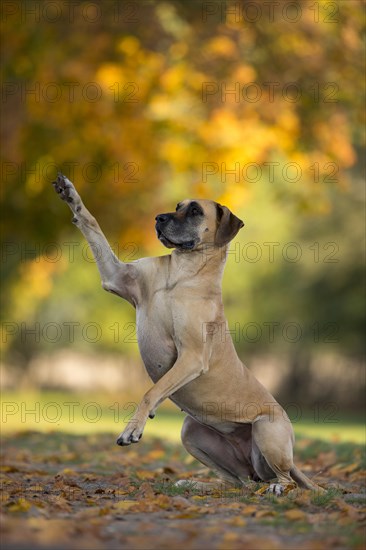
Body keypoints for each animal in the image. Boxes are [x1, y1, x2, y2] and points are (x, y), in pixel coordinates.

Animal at [52, 174, 324, 496]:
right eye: (177, 205)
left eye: (195, 211)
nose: (158, 218)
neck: (183, 272)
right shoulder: (116, 276)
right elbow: (91, 223)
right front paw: (70, 194)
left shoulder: (191, 357)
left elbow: (151, 392)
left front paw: (133, 429)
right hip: (191, 431)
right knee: (237, 481)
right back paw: (197, 484)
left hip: (267, 430)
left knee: (282, 479)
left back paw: (277, 489)